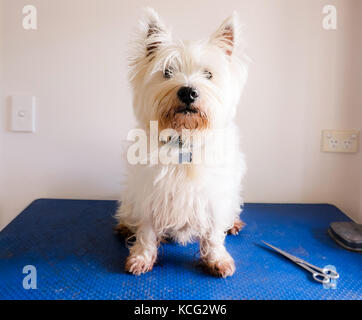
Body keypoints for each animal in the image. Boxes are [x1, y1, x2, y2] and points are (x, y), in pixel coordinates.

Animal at [116, 7, 249, 278]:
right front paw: (142, 258)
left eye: (208, 74)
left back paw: (234, 224)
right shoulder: (149, 193)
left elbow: (213, 234)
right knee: (129, 212)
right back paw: (125, 226)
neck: (184, 141)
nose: (188, 92)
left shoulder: (214, 196)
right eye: (167, 71)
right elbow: (146, 231)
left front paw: (217, 260)